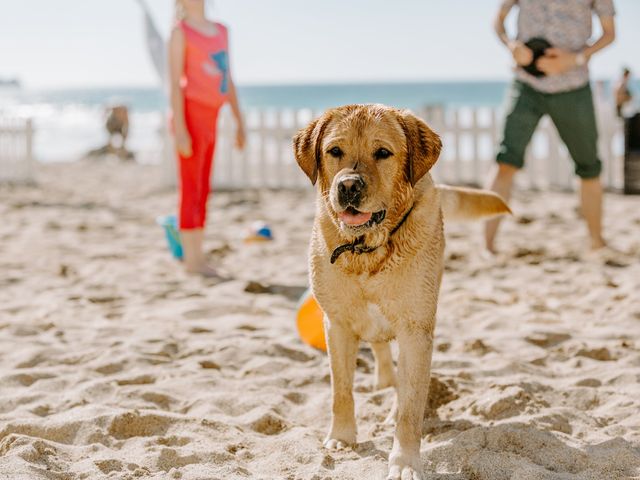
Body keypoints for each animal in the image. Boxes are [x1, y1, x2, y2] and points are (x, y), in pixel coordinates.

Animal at [294, 105, 510, 480]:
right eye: (334, 151)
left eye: (383, 153)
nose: (348, 186)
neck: (366, 249)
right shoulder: (337, 324)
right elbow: (341, 391)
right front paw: (342, 437)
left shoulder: (415, 331)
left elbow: (410, 410)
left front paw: (405, 461)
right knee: (380, 350)